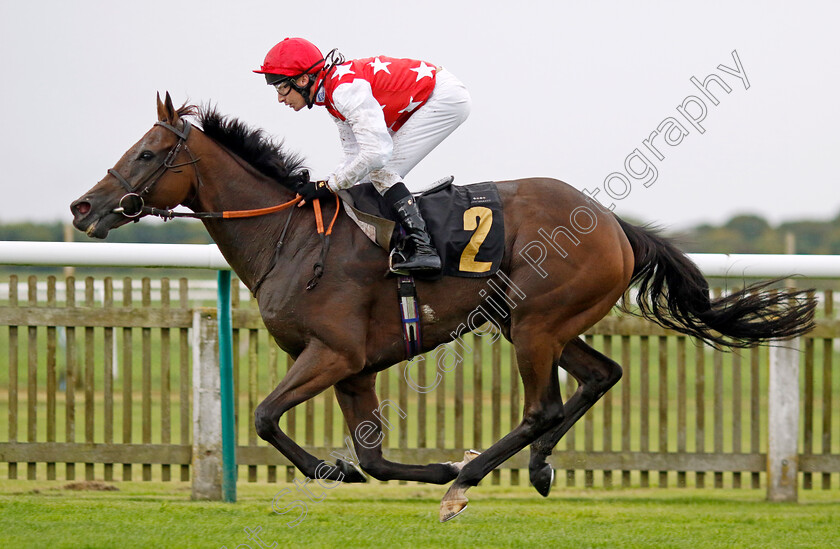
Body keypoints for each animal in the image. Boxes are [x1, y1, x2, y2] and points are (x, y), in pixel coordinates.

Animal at [72, 92, 812, 520]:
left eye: (146, 152)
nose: (82, 207)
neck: (292, 236)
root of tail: (613, 223)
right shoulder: (355, 369)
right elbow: (371, 457)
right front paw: (373, 467)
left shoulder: (332, 353)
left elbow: (262, 414)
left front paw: (333, 468)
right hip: (535, 321)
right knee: (601, 374)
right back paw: (536, 467)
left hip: (535, 321)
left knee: (542, 406)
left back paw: (471, 477)